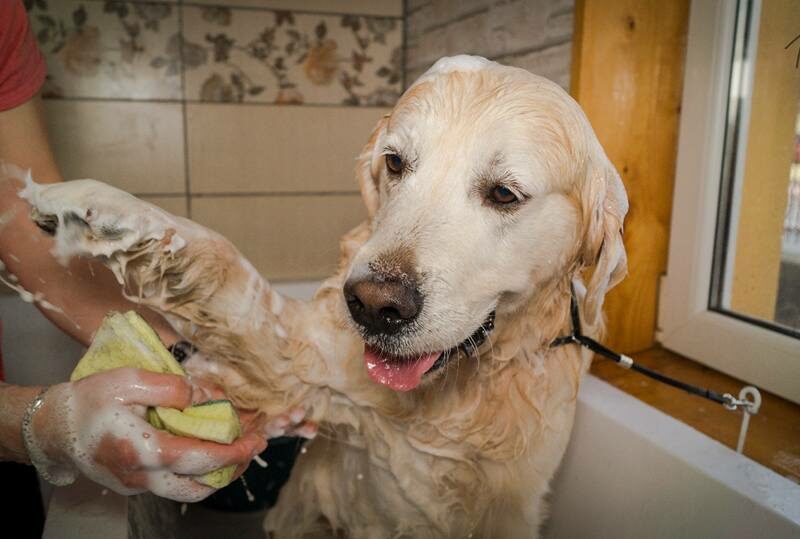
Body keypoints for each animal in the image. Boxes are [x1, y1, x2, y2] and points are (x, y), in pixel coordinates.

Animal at [15, 57, 624, 536]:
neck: (446, 400)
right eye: (396, 163)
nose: (373, 305)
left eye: (503, 194)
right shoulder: (302, 358)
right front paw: (88, 203)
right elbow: (211, 248)